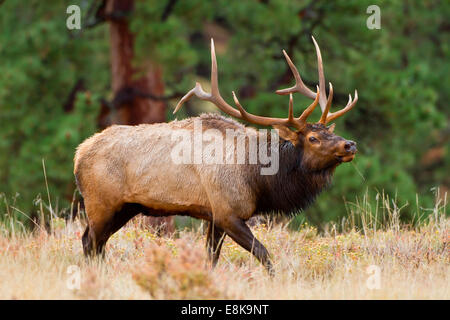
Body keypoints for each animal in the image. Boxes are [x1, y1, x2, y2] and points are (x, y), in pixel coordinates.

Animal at [75, 36, 360, 274]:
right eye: (313, 138)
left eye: (329, 131)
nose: (350, 145)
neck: (258, 178)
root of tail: (79, 155)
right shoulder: (227, 212)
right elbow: (262, 252)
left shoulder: (213, 217)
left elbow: (211, 258)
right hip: (101, 202)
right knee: (90, 241)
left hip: (126, 207)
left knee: (98, 243)